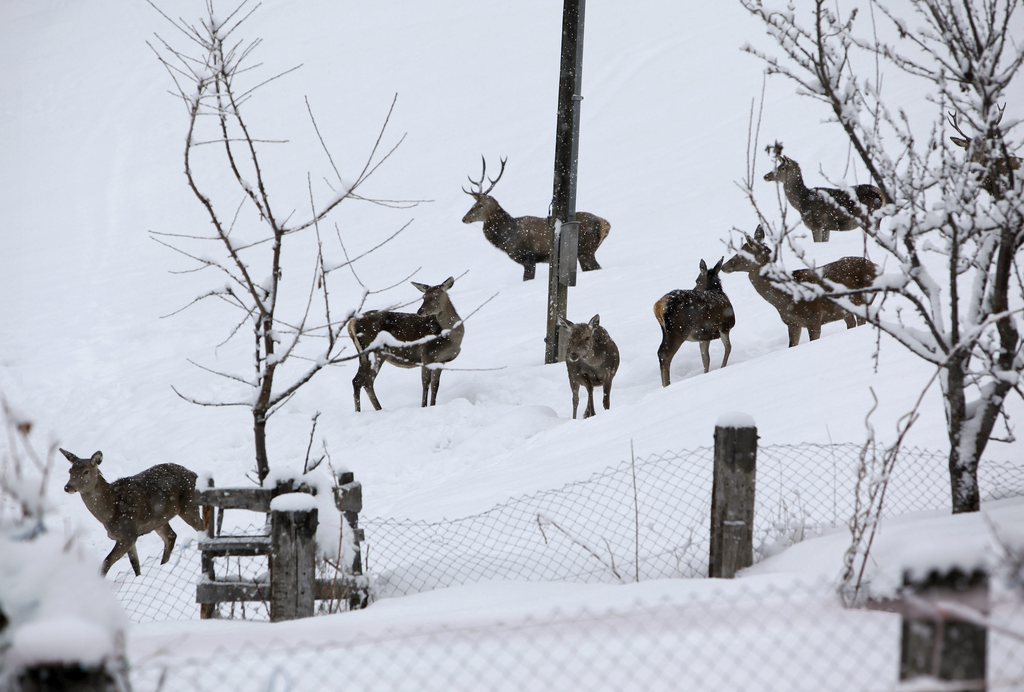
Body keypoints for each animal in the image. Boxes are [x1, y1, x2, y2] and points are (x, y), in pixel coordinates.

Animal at [59, 446, 205, 577]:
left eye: (86, 471)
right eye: (70, 471)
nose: (68, 487)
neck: (110, 513)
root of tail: (194, 474)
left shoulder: (128, 534)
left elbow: (106, 562)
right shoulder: (126, 536)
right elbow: (135, 564)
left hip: (189, 505)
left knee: (200, 527)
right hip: (159, 520)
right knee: (171, 536)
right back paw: (163, 565)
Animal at [350, 276, 466, 411]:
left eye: (436, 295)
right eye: (423, 297)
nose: (420, 311)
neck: (451, 339)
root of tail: (352, 323)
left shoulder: (440, 361)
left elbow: (435, 386)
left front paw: (433, 406)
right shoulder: (426, 355)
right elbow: (425, 383)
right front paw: (423, 407)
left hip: (368, 355)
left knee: (362, 381)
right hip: (373, 352)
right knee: (362, 381)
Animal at [462, 156, 610, 280]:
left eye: (479, 205)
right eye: (473, 204)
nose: (464, 218)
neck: (508, 237)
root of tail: (605, 223)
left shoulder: (528, 258)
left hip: (585, 250)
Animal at [655, 256, 737, 386]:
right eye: (696, 280)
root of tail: (658, 306)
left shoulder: (704, 337)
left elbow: (706, 359)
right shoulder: (725, 326)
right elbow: (728, 347)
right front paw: (722, 367)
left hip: (667, 331)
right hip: (678, 331)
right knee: (664, 354)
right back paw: (667, 385)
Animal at [720, 225, 880, 346]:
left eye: (741, 253)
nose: (724, 266)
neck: (786, 299)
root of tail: (877, 268)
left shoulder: (814, 318)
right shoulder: (792, 323)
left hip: (862, 299)